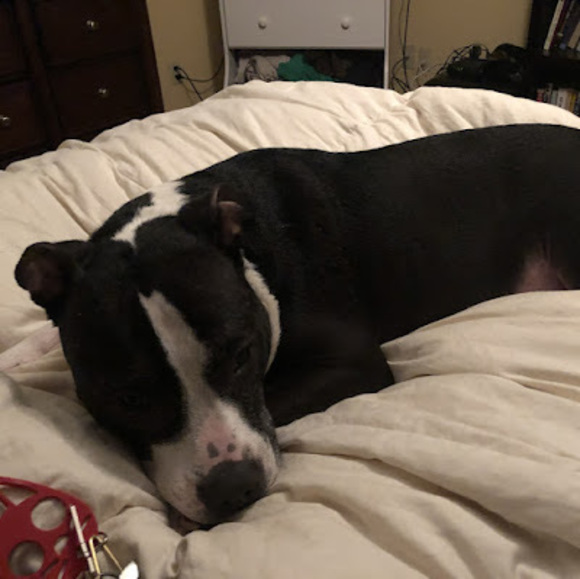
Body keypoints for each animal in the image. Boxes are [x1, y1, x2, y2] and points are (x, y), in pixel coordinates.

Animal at [15, 124, 580, 525]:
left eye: (242, 354)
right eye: (129, 398)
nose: (233, 489)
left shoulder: (351, 363)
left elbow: (273, 398)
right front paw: (25, 349)